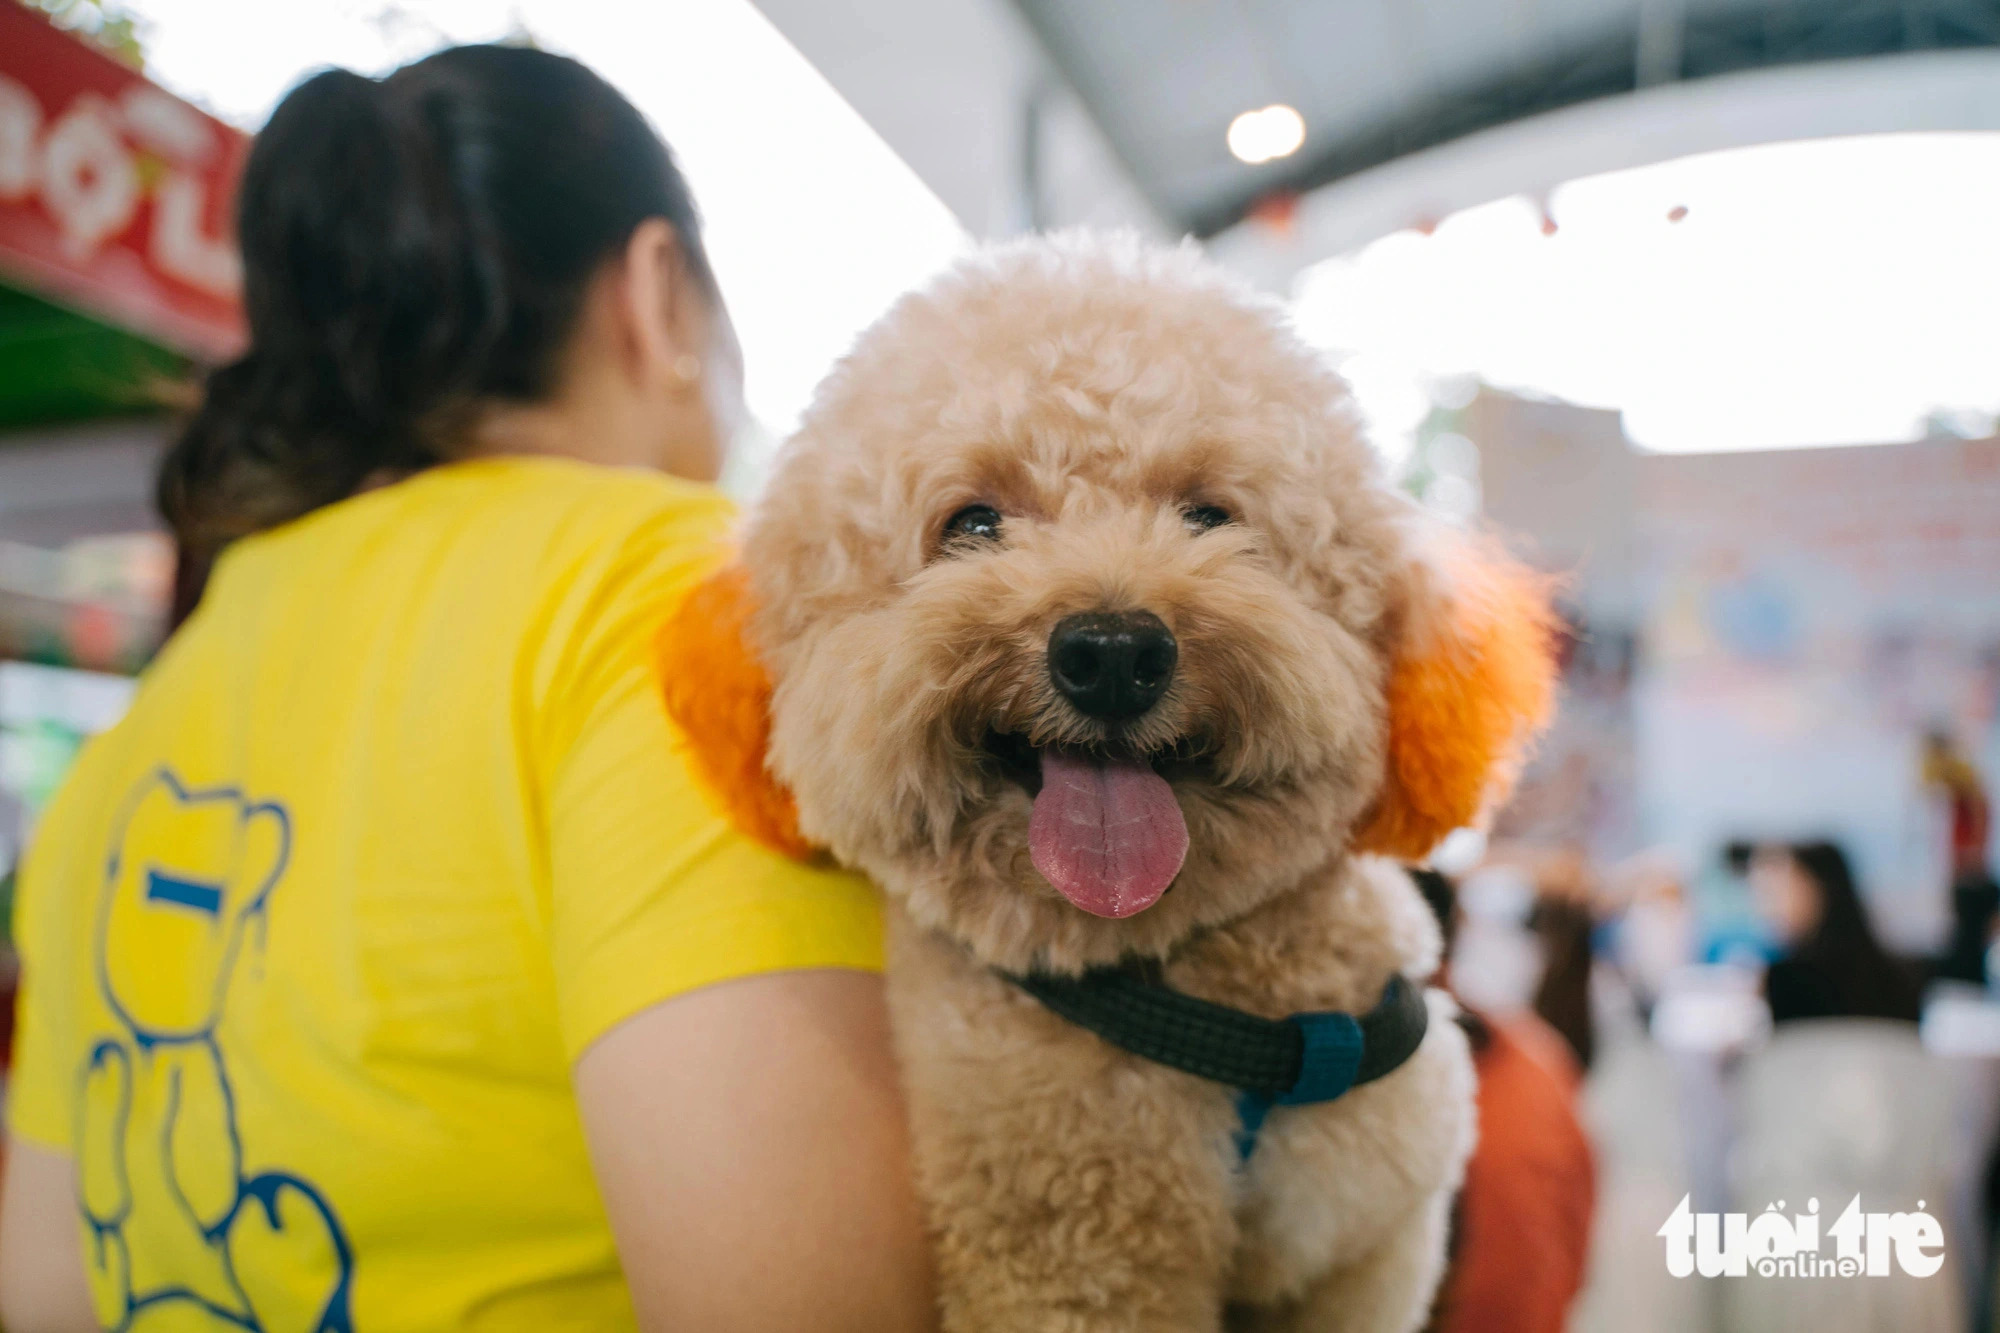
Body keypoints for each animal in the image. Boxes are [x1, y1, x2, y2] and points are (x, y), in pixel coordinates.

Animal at [664, 239, 1552, 1328]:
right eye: (972, 522)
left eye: (1209, 515)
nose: (1113, 652)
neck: (1207, 1011)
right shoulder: (1075, 1262)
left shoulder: (1365, 1253)